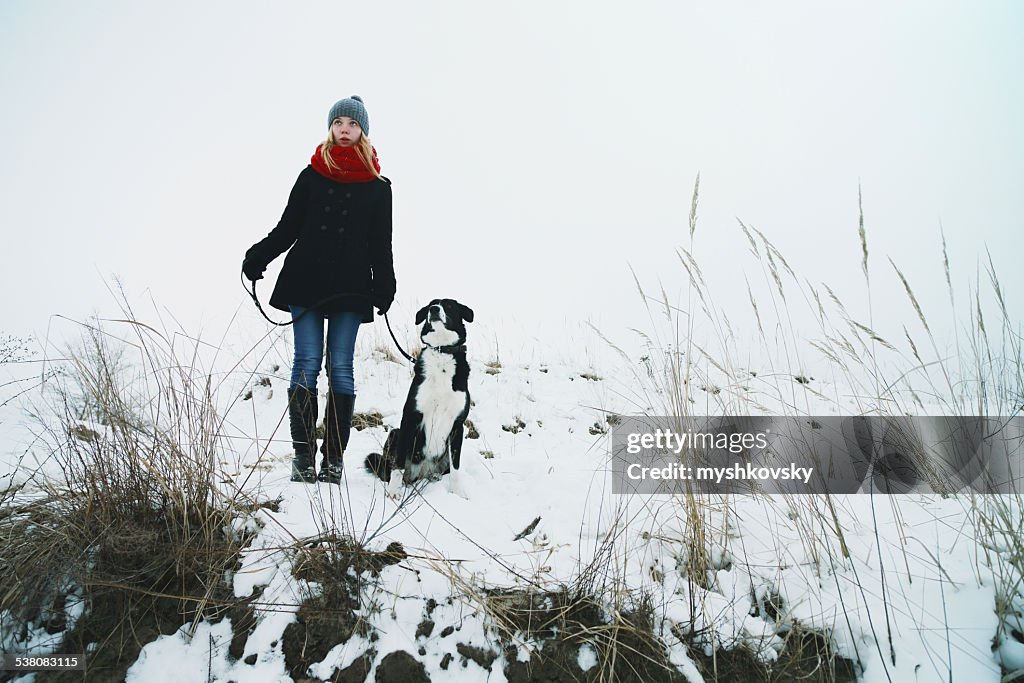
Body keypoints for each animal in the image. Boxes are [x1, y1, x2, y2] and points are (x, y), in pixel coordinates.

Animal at [366, 296, 473, 497]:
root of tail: (423, 473)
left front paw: (457, 492)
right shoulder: (410, 417)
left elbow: (456, 466)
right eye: (432, 303)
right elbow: (399, 463)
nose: (434, 309)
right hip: (395, 433)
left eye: (448, 305)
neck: (441, 352)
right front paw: (394, 491)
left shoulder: (457, 425)